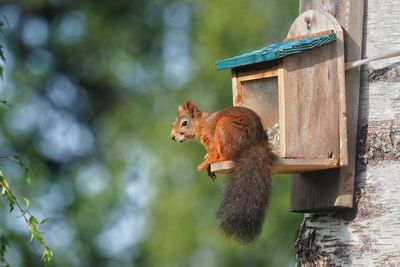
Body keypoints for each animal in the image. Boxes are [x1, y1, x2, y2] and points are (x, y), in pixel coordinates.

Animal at [169, 100, 276, 243]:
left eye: (184, 123)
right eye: (173, 123)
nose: (172, 137)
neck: (201, 122)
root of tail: (253, 143)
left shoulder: (210, 137)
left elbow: (213, 152)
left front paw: (205, 162)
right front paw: (206, 159)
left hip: (224, 128)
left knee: (226, 155)